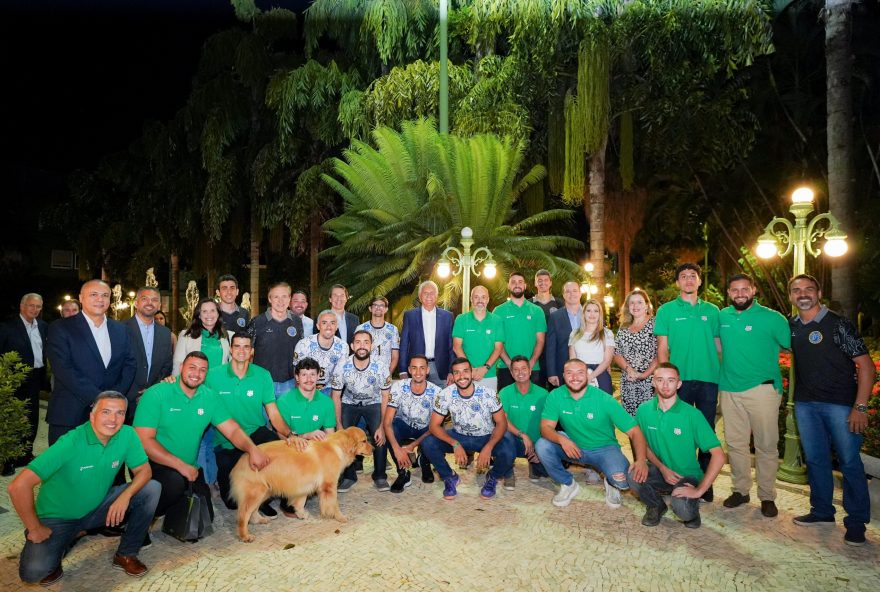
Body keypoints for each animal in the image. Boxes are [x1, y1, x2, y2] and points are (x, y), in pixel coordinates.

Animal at [230, 426, 372, 540]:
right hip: (256, 493)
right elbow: (333, 505)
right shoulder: (329, 486)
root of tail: (240, 462)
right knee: (243, 515)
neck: (338, 447)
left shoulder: (304, 485)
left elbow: (300, 502)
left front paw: (301, 514)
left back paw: (260, 520)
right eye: (364, 441)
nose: (374, 448)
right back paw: (245, 536)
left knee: (252, 511)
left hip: (264, 491)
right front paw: (340, 517)